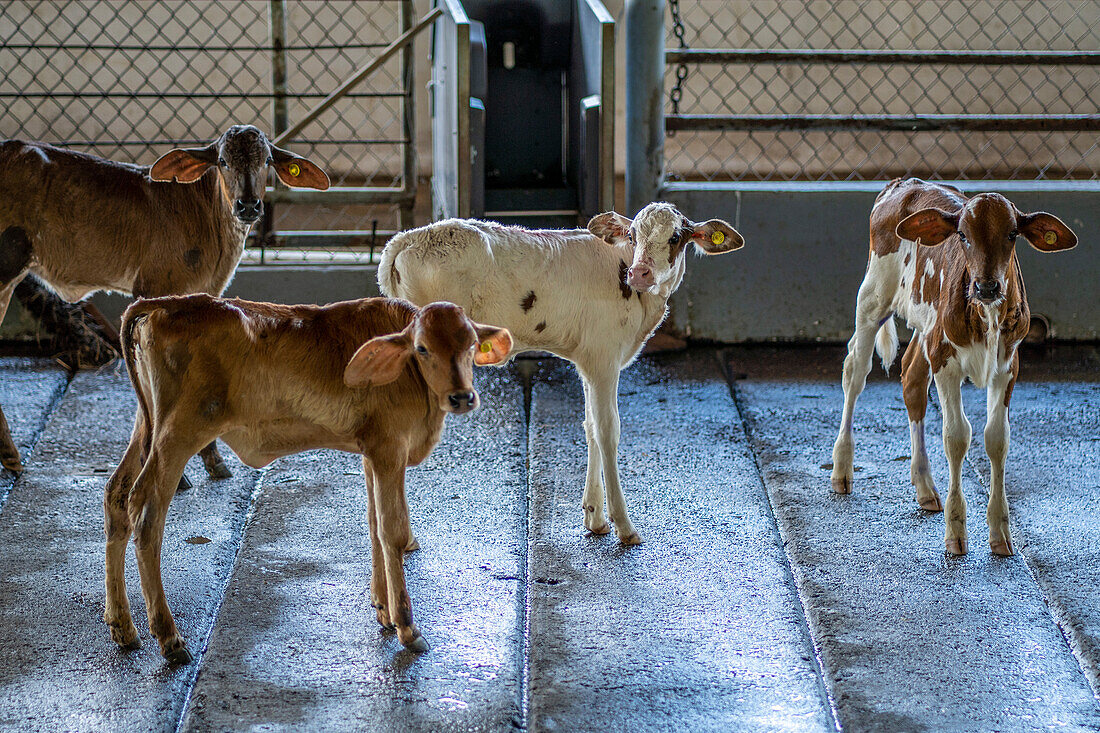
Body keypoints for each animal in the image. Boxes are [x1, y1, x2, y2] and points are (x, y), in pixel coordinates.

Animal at [102, 294, 510, 660]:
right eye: (422, 348)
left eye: (471, 345)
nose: (462, 396)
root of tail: (163, 303)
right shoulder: (390, 447)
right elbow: (392, 531)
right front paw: (407, 627)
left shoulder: (372, 451)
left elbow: (373, 524)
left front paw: (383, 610)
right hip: (179, 434)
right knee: (146, 513)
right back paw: (168, 637)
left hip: (148, 427)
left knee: (116, 496)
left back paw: (123, 627)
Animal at [380, 200, 748, 541]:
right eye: (632, 235)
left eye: (674, 237)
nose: (639, 273)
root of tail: (410, 236)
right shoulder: (604, 358)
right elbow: (608, 430)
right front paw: (624, 525)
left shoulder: (589, 361)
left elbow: (590, 427)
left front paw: (595, 517)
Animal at [831, 177, 1073, 554]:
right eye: (962, 234)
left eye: (1012, 233)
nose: (986, 286)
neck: (986, 316)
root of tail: (903, 183)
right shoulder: (945, 362)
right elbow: (956, 436)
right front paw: (956, 529)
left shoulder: (1007, 366)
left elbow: (996, 438)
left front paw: (999, 531)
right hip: (872, 297)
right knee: (855, 370)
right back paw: (842, 468)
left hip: (925, 327)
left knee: (912, 379)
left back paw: (925, 486)